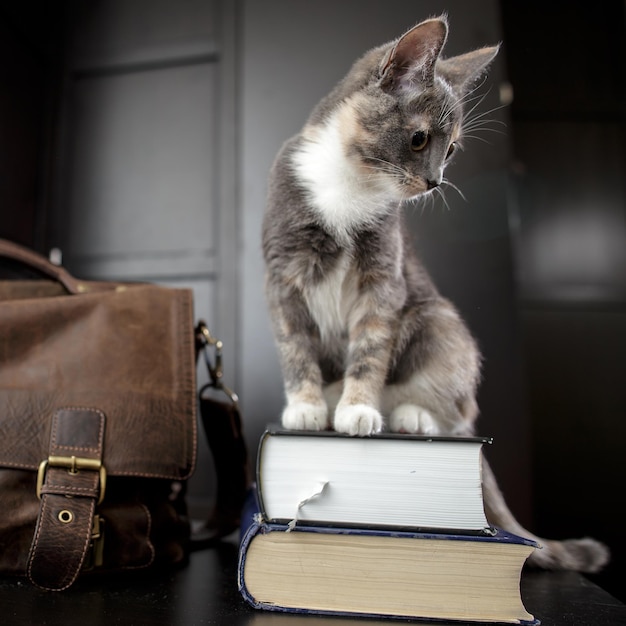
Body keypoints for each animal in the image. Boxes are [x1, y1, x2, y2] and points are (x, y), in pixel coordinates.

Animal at [260, 13, 608, 572]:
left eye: (453, 149)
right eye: (420, 139)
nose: (435, 182)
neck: (349, 185)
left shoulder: (385, 275)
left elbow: (372, 344)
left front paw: (358, 408)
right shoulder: (282, 271)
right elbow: (295, 343)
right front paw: (307, 404)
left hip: (437, 318)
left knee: (456, 407)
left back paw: (408, 414)